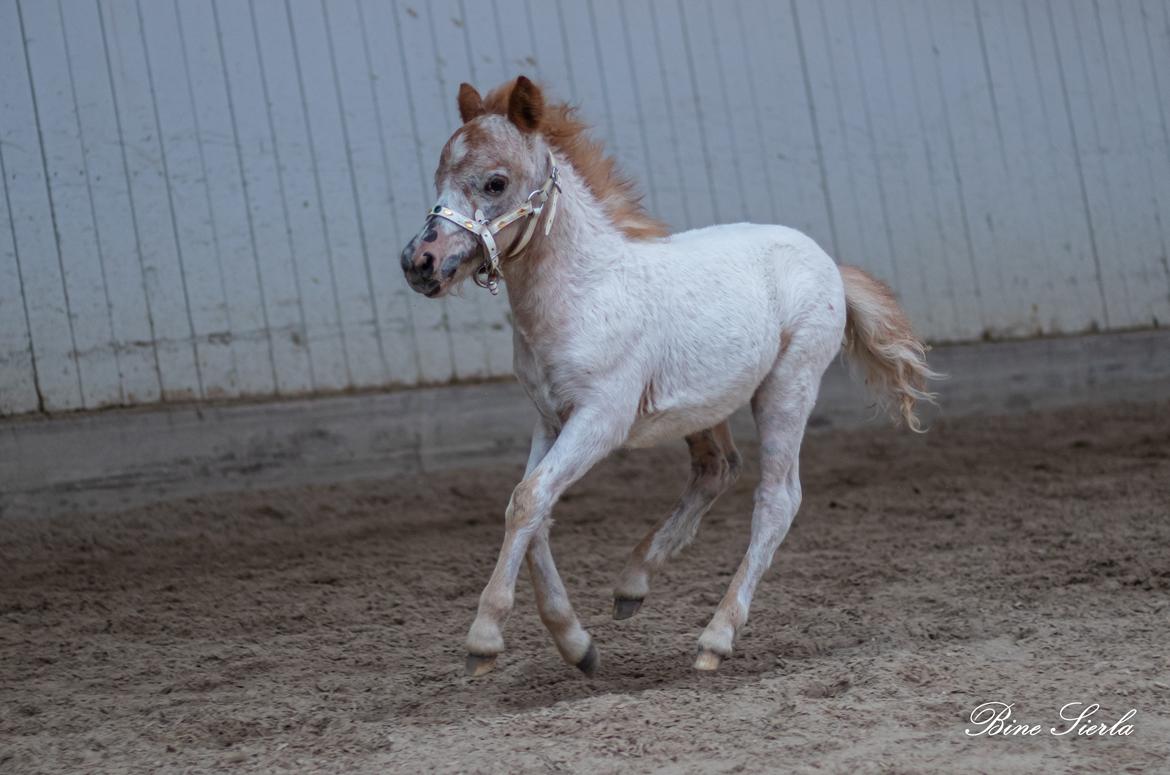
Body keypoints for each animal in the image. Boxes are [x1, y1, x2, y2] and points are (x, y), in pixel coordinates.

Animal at [397, 76, 935, 679]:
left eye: (496, 182)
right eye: (439, 178)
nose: (419, 261)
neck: (583, 292)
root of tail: (829, 263)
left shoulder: (601, 419)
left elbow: (529, 500)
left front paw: (485, 638)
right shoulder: (550, 419)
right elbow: (532, 508)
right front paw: (576, 644)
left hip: (788, 388)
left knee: (777, 500)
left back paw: (715, 638)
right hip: (704, 405)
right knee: (717, 469)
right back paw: (633, 584)